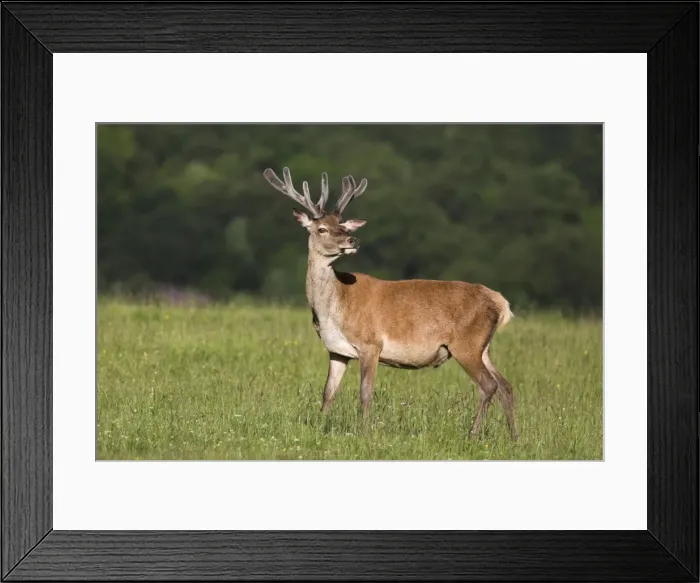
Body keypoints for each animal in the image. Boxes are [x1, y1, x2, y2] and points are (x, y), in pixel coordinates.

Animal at [262, 167, 518, 440]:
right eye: (322, 228)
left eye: (342, 226)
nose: (353, 241)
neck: (334, 309)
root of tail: (500, 303)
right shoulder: (336, 350)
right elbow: (328, 393)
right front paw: (321, 427)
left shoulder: (370, 344)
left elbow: (365, 393)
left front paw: (364, 433)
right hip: (484, 347)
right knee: (506, 386)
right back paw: (514, 437)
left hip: (466, 344)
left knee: (488, 385)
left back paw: (472, 434)